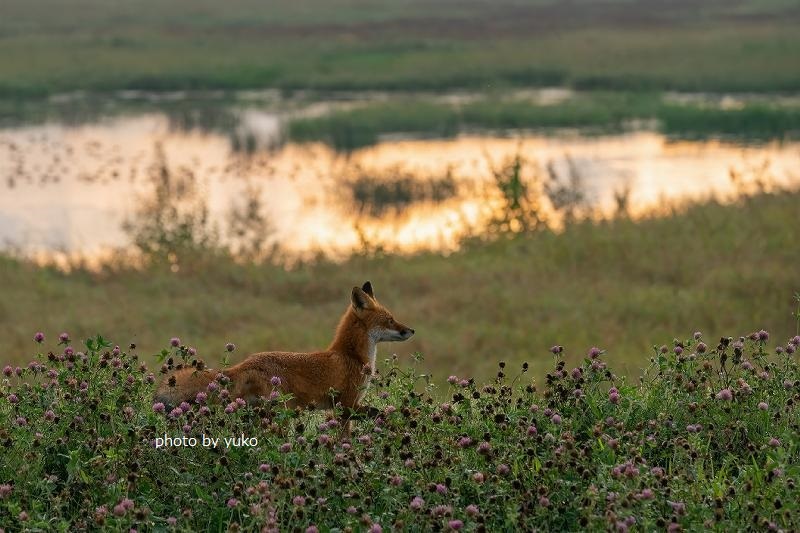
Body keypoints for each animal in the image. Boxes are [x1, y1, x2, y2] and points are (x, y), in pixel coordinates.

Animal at [153, 280, 412, 430]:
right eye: (390, 320)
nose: (411, 330)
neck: (353, 357)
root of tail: (246, 362)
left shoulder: (342, 407)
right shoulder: (346, 406)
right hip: (279, 415)